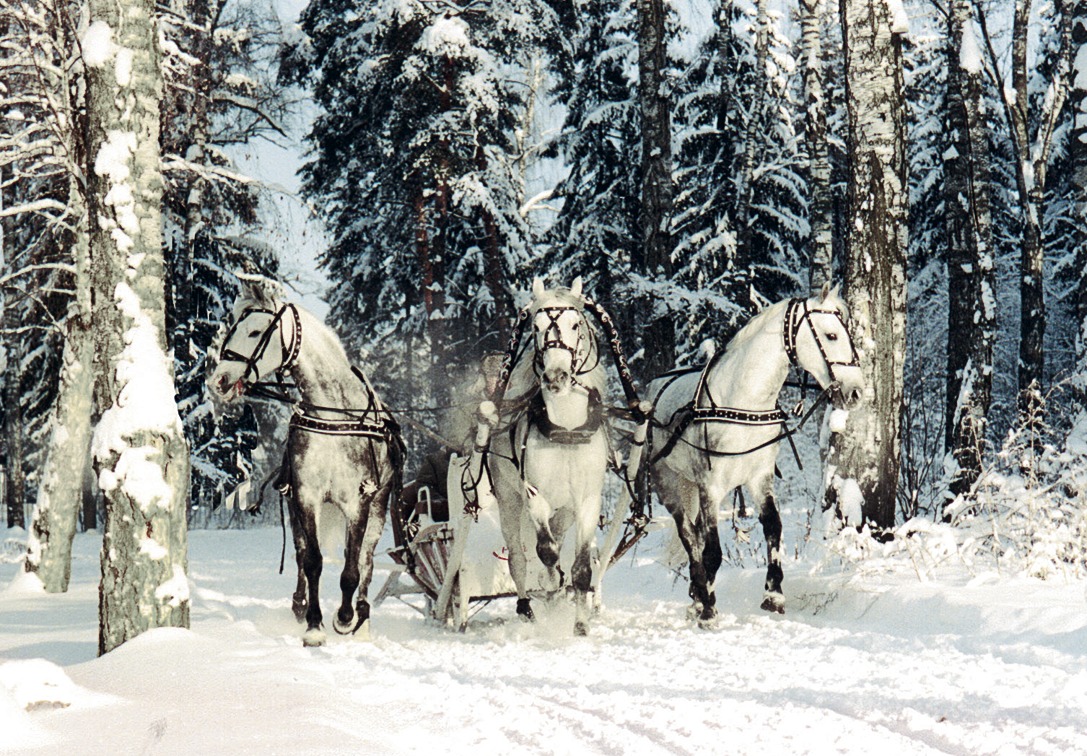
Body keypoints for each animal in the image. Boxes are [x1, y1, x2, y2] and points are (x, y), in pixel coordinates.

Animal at [209, 278, 402, 643]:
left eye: (255, 331)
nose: (219, 381)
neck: (333, 415)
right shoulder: (306, 496)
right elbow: (312, 560)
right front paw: (314, 625)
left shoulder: (358, 502)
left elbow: (352, 568)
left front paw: (345, 617)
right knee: (300, 552)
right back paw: (300, 604)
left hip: (379, 507)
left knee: (366, 559)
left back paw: (362, 616)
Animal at [484, 276, 613, 630]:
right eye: (537, 326)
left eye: (575, 324)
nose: (556, 376)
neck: (567, 430)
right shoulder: (534, 496)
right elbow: (545, 551)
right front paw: (552, 583)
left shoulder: (586, 500)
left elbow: (581, 566)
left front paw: (580, 624)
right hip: (509, 500)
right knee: (518, 556)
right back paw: (527, 604)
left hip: (565, 511)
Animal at [634, 282, 860, 626]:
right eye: (832, 335)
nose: (857, 391)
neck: (743, 403)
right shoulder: (710, 487)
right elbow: (712, 550)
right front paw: (709, 607)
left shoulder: (759, 477)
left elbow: (773, 528)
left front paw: (773, 594)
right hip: (672, 488)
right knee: (689, 536)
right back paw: (700, 594)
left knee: (695, 536)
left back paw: (696, 594)